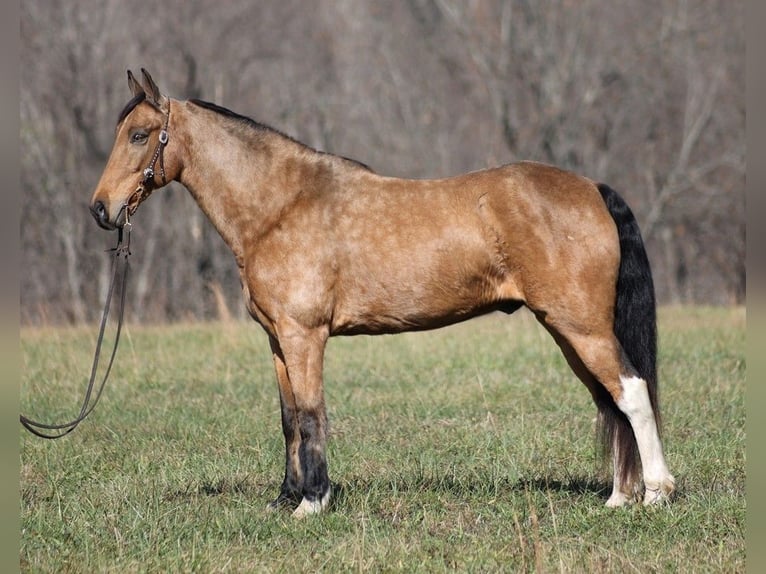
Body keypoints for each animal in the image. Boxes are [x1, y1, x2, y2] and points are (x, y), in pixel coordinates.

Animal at [91, 70, 680, 520]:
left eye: (140, 135)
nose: (100, 209)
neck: (280, 206)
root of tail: (592, 189)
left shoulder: (305, 336)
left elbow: (311, 414)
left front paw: (313, 503)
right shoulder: (278, 341)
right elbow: (288, 418)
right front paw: (285, 499)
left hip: (580, 327)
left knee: (630, 392)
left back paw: (655, 495)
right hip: (569, 331)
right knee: (610, 400)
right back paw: (619, 497)